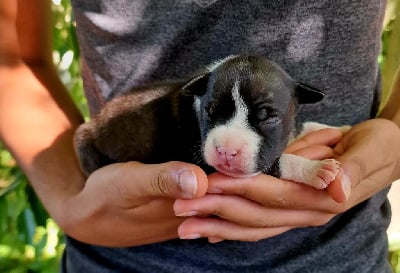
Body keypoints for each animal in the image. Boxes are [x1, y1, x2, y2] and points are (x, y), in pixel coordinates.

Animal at [73, 54, 348, 188]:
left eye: (268, 117)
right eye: (210, 112)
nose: (226, 150)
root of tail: (90, 124)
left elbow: (301, 127)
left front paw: (340, 128)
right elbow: (277, 163)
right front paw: (315, 169)